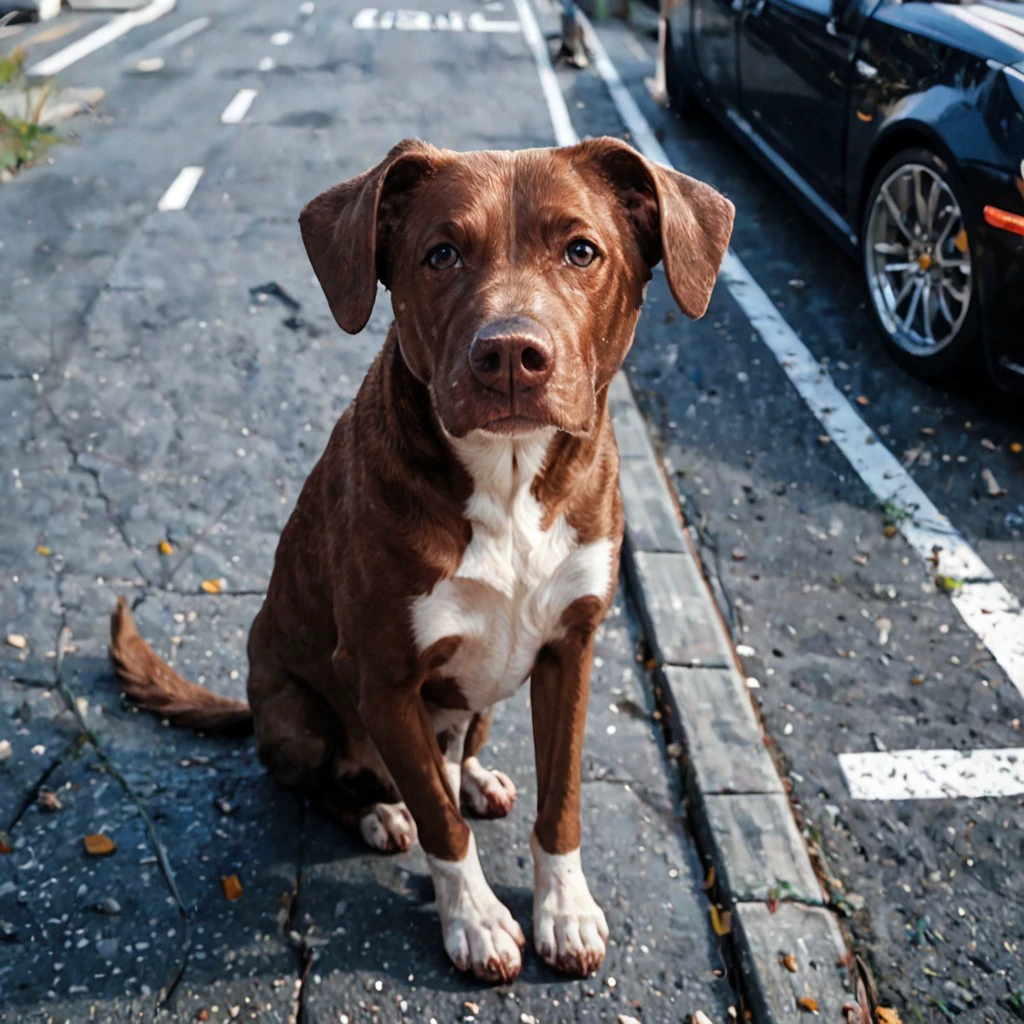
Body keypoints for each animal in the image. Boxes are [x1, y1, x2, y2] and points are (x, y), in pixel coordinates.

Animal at [110, 136, 737, 983]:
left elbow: (562, 797)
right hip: (298, 716)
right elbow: (441, 827)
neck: (509, 479)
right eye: (441, 253)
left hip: (486, 696)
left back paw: (473, 776)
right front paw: (474, 919)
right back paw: (378, 810)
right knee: (326, 782)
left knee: (457, 747)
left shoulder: (571, 649)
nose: (510, 355)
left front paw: (564, 909)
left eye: (582, 250)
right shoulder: (383, 679)